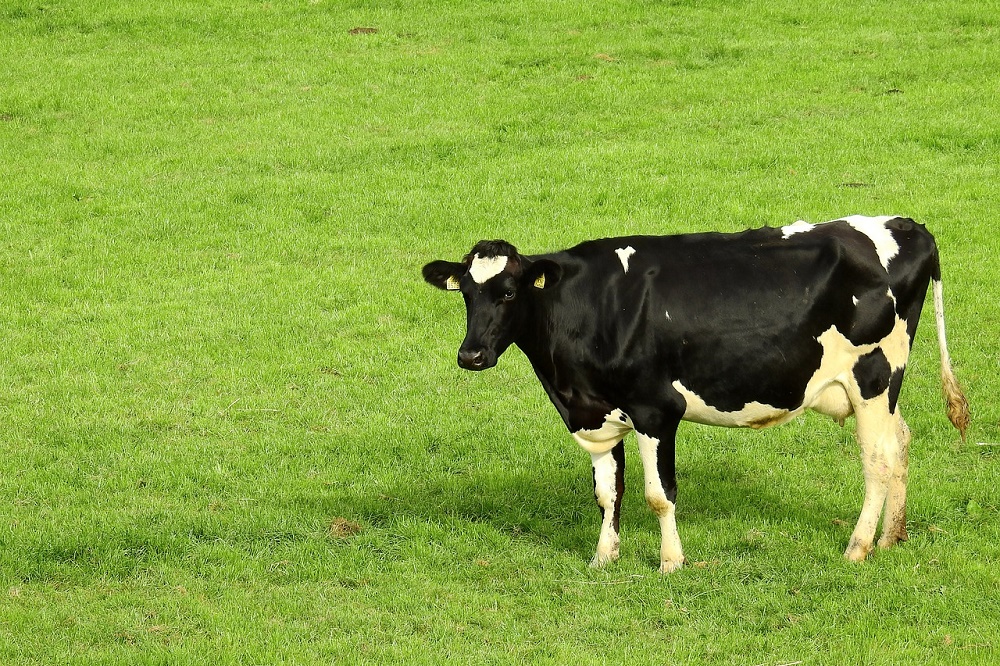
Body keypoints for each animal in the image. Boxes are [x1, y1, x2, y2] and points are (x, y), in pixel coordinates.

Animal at [422, 214, 968, 572]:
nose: (471, 355)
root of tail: (906, 225)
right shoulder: (597, 413)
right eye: (466, 294)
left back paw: (858, 547)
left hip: (873, 376)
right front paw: (603, 558)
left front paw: (670, 562)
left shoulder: (655, 410)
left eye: (509, 292)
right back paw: (891, 538)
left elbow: (658, 494)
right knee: (902, 441)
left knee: (879, 457)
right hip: (879, 390)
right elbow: (606, 492)